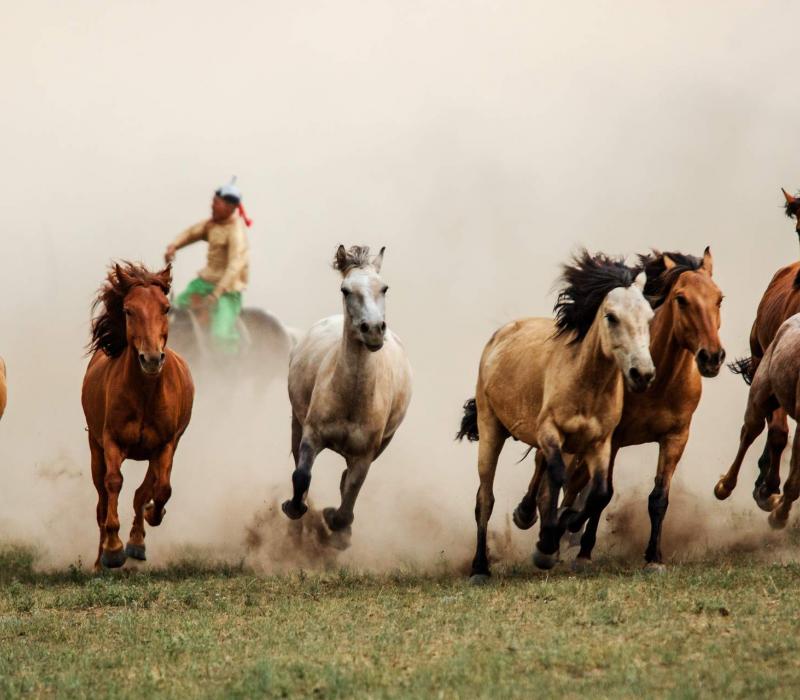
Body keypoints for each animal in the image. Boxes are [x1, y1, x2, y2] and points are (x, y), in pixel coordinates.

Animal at [81, 262, 195, 568]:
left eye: (165, 308)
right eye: (129, 310)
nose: (152, 359)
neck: (145, 394)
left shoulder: (166, 444)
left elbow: (161, 489)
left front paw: (148, 523)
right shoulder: (111, 441)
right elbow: (113, 483)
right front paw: (112, 550)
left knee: (143, 491)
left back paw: (137, 543)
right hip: (95, 448)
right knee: (101, 500)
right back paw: (100, 560)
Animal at [456, 250, 656, 580]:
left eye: (650, 317)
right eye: (611, 316)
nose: (643, 374)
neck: (585, 383)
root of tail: (501, 335)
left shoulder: (600, 442)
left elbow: (600, 492)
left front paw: (562, 527)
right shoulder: (550, 431)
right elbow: (560, 476)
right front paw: (548, 542)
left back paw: (528, 518)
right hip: (490, 428)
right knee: (485, 498)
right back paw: (480, 568)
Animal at [532, 249, 724, 572]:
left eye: (719, 298)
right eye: (681, 299)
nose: (712, 357)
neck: (658, 385)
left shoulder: (676, 438)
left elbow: (658, 498)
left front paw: (654, 558)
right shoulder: (613, 439)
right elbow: (602, 494)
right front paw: (583, 552)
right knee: (554, 474)